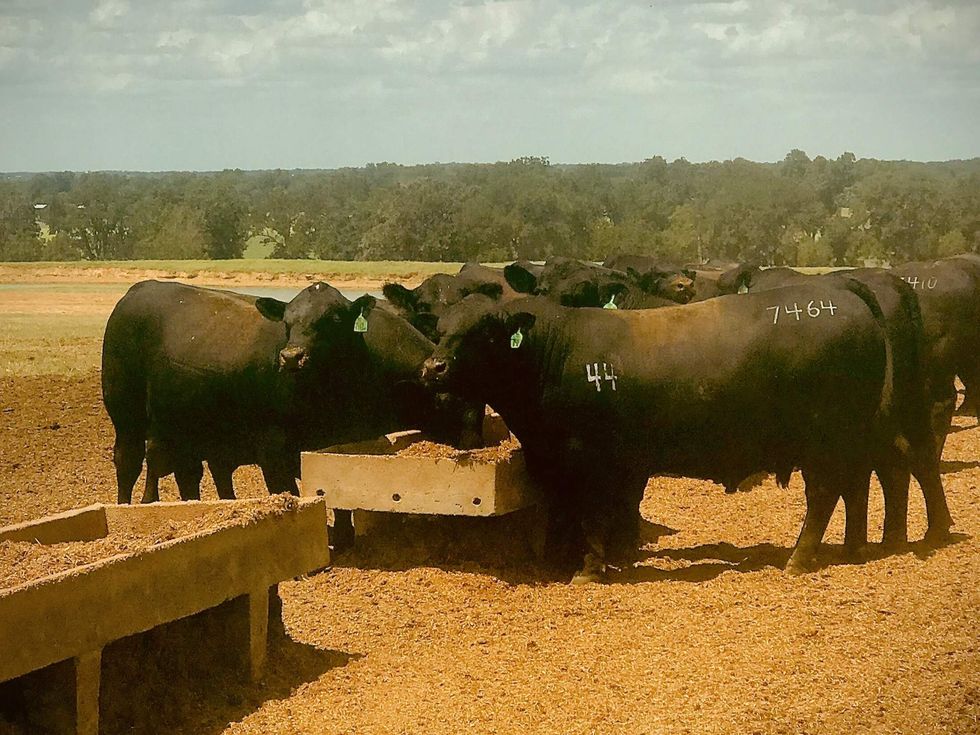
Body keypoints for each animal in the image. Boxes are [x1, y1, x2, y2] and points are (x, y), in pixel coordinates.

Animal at [102, 280, 473, 509]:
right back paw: (124, 508)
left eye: (333, 318)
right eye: (288, 322)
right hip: (128, 417)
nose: (292, 356)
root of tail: (140, 288)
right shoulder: (273, 450)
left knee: (189, 475)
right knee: (129, 462)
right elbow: (289, 493)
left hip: (185, 432)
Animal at [421, 280, 947, 583]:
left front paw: (589, 569)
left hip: (825, 439)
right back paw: (855, 547)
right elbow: (585, 512)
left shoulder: (593, 461)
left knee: (828, 493)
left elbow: (593, 515)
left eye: (485, 332)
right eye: (440, 329)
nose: (433, 367)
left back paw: (800, 559)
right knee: (865, 480)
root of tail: (846, 295)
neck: (556, 354)